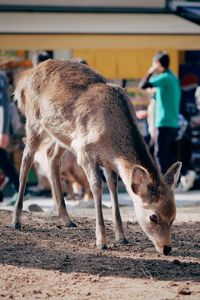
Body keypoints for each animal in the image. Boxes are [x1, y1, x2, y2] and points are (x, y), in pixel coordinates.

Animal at [12, 59, 181, 255]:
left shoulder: (107, 160)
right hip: (33, 121)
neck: (110, 139)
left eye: (174, 216)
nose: (166, 248)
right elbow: (97, 187)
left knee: (52, 157)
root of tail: (25, 79)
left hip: (62, 135)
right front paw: (101, 241)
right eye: (153, 216)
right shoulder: (85, 152)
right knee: (27, 158)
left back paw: (66, 219)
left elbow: (113, 186)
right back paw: (16, 220)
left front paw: (122, 237)